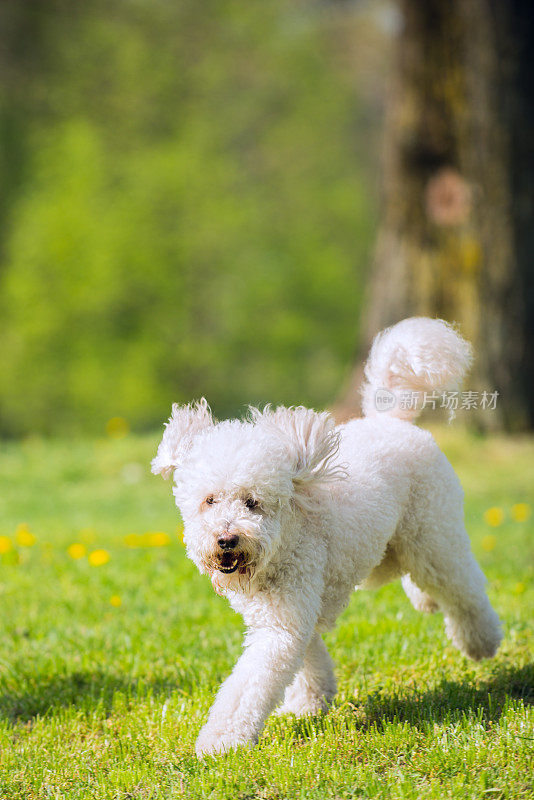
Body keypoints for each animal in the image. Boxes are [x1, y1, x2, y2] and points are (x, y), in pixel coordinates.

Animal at [153, 318, 504, 756]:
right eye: (209, 501)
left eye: (253, 502)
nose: (226, 540)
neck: (286, 538)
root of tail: (394, 420)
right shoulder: (293, 612)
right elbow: (309, 655)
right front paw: (308, 703)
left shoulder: (282, 623)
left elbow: (248, 686)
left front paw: (220, 742)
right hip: (399, 544)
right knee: (415, 576)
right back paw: (427, 602)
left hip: (432, 533)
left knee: (461, 586)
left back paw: (481, 642)